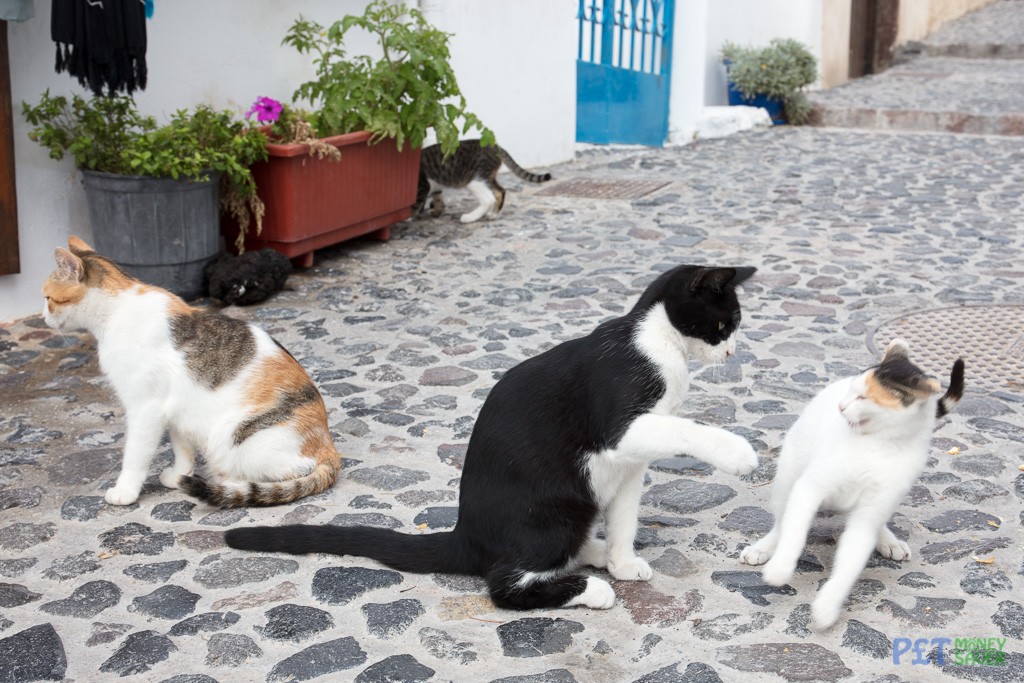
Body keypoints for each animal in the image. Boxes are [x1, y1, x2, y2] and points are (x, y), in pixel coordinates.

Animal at [44, 237, 342, 505]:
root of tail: (330, 450)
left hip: (236, 436)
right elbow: (181, 447)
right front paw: (179, 474)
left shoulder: (145, 408)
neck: (118, 310)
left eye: (47, 298)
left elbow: (135, 454)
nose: (43, 318)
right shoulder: (176, 409)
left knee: (288, 472)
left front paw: (125, 491)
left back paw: (228, 482)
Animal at [230, 264, 761, 610]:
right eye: (726, 322)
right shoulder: (621, 423)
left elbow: (626, 517)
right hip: (558, 509)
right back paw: (590, 588)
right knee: (504, 585)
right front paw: (737, 452)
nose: (733, 352)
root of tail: (467, 535)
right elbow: (684, 426)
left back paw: (594, 554)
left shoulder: (630, 466)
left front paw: (623, 559)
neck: (657, 342)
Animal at [413, 139, 552, 224]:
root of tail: (495, 146)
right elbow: (437, 197)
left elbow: (416, 204)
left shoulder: (422, 186)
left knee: (489, 199)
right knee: (500, 191)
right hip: (487, 177)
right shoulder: (434, 186)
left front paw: (412, 217)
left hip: (474, 179)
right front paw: (436, 210)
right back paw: (494, 214)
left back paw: (469, 217)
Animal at [741, 339, 962, 634]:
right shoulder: (809, 487)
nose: (841, 407)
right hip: (789, 472)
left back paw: (888, 539)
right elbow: (794, 531)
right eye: (851, 392)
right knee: (782, 519)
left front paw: (828, 605)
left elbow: (850, 563)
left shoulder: (870, 513)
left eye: (864, 398)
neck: (880, 443)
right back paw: (764, 547)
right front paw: (781, 568)